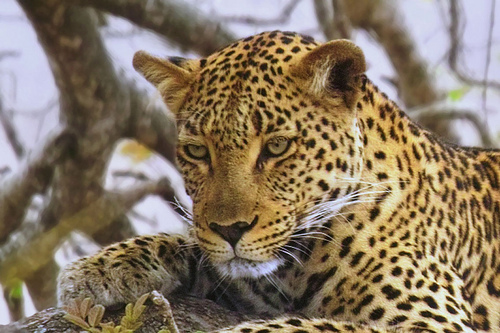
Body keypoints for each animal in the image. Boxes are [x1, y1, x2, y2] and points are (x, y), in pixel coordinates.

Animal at [58, 31, 500, 332]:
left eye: (276, 146)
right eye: (198, 152)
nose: (230, 230)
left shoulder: (434, 319)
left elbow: (309, 326)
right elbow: (196, 247)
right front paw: (98, 269)